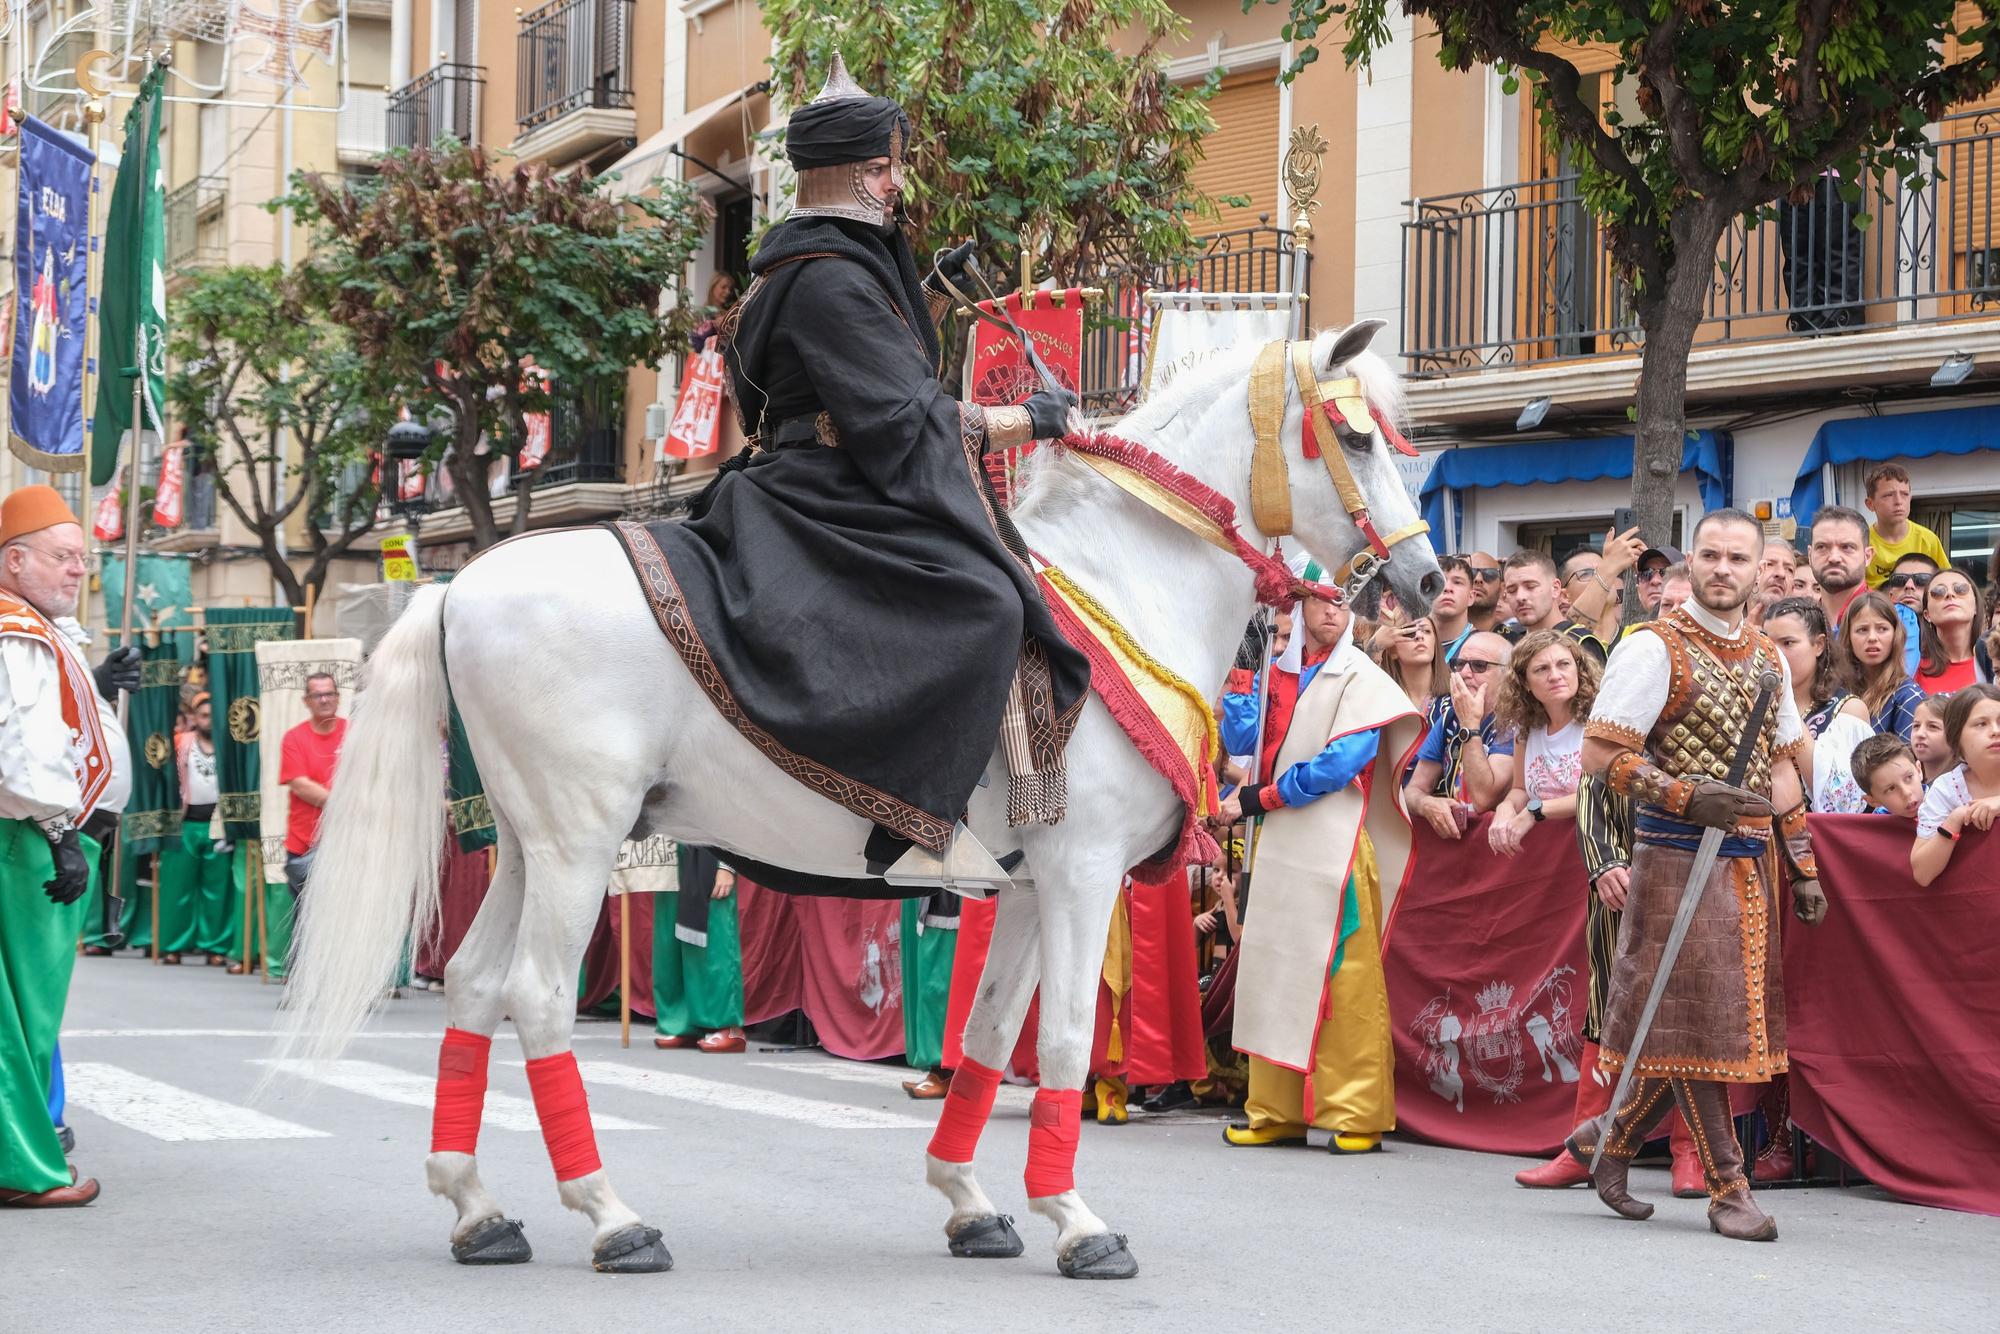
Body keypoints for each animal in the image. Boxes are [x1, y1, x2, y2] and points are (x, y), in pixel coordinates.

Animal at [278, 316, 1440, 1280]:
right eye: (1357, 438)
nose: (1428, 580)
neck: (1121, 585)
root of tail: (456, 586)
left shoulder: (1030, 883)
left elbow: (990, 1031)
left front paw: (971, 1201)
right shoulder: (1082, 871)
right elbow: (1065, 1037)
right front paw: (1077, 1220)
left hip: (526, 842)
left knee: (475, 985)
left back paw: (478, 1209)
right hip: (576, 842)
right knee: (535, 995)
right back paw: (611, 1216)